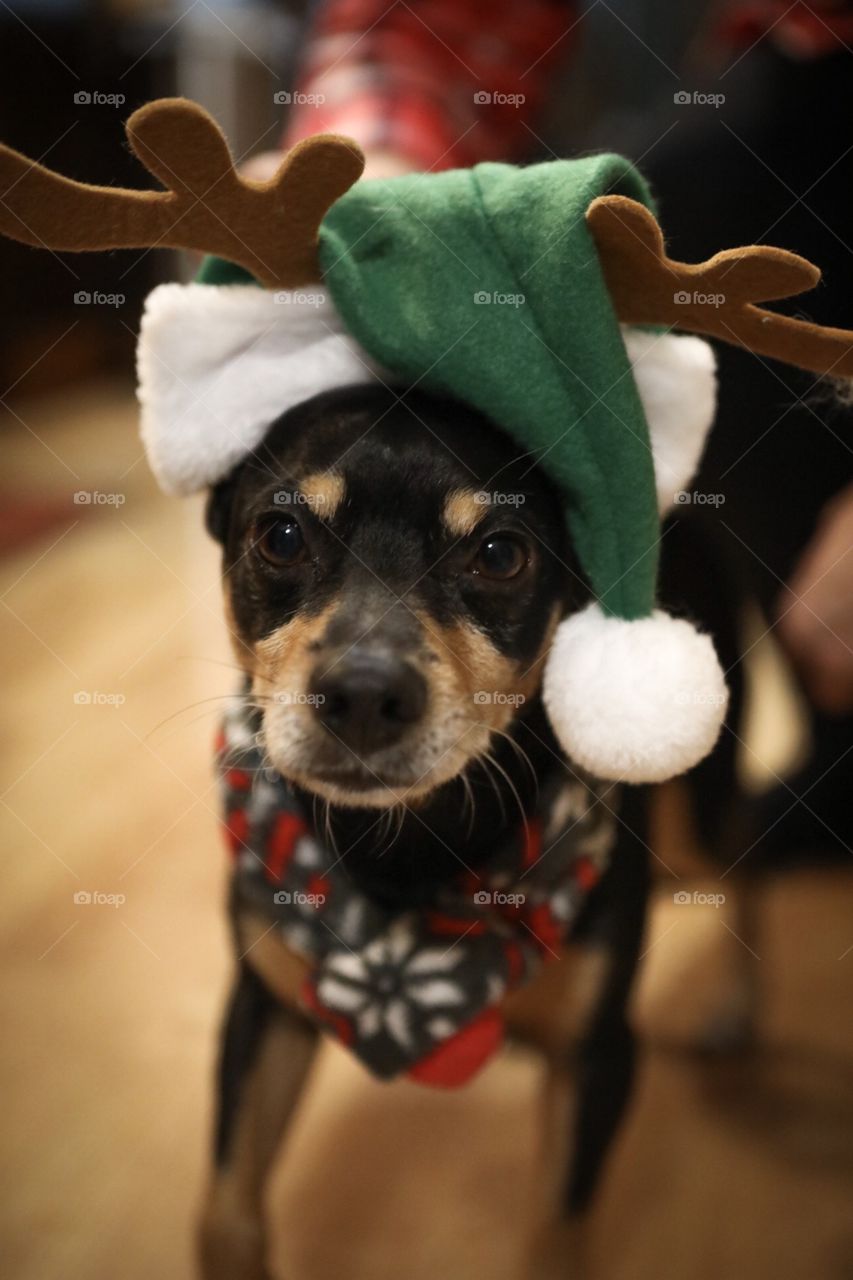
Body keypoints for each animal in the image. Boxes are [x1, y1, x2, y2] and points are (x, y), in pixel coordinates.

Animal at [195, 384, 666, 1280]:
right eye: (280, 536)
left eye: (499, 554)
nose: (362, 694)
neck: (407, 858)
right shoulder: (263, 1009)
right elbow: (227, 1213)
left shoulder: (598, 1060)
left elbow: (555, 1238)